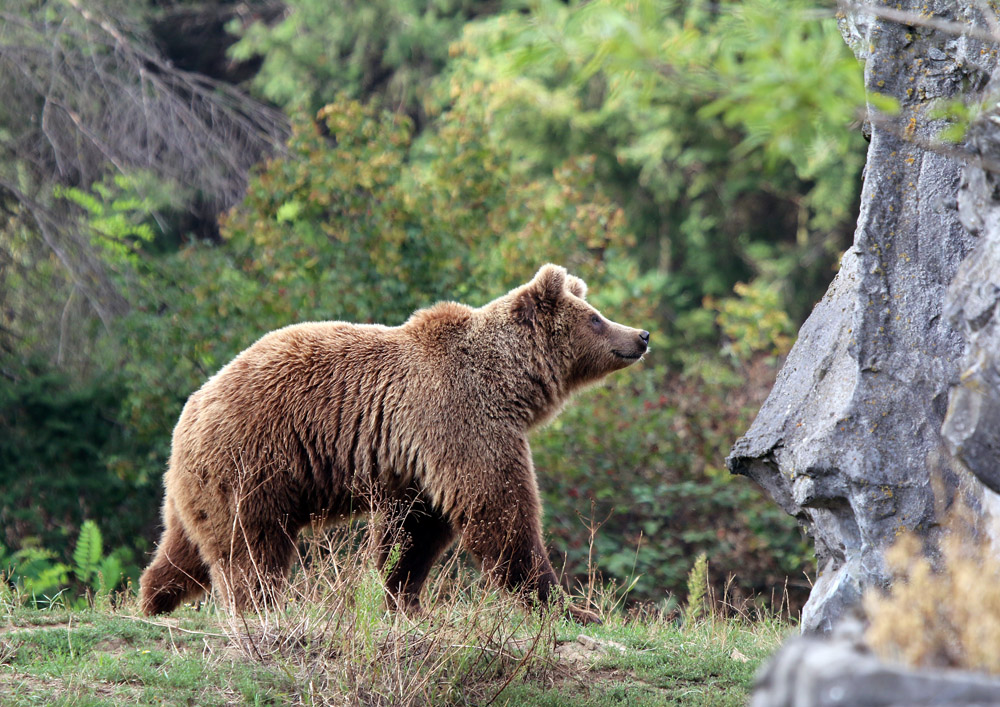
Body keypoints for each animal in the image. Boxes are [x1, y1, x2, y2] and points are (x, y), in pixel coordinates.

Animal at [139, 266, 648, 624]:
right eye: (596, 318)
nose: (641, 335)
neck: (508, 384)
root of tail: (193, 405)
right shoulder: (459, 418)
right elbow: (499, 512)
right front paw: (572, 606)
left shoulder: (420, 459)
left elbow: (415, 531)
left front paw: (405, 599)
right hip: (255, 461)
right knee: (252, 547)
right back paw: (261, 606)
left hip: (202, 484)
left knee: (184, 549)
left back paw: (153, 600)